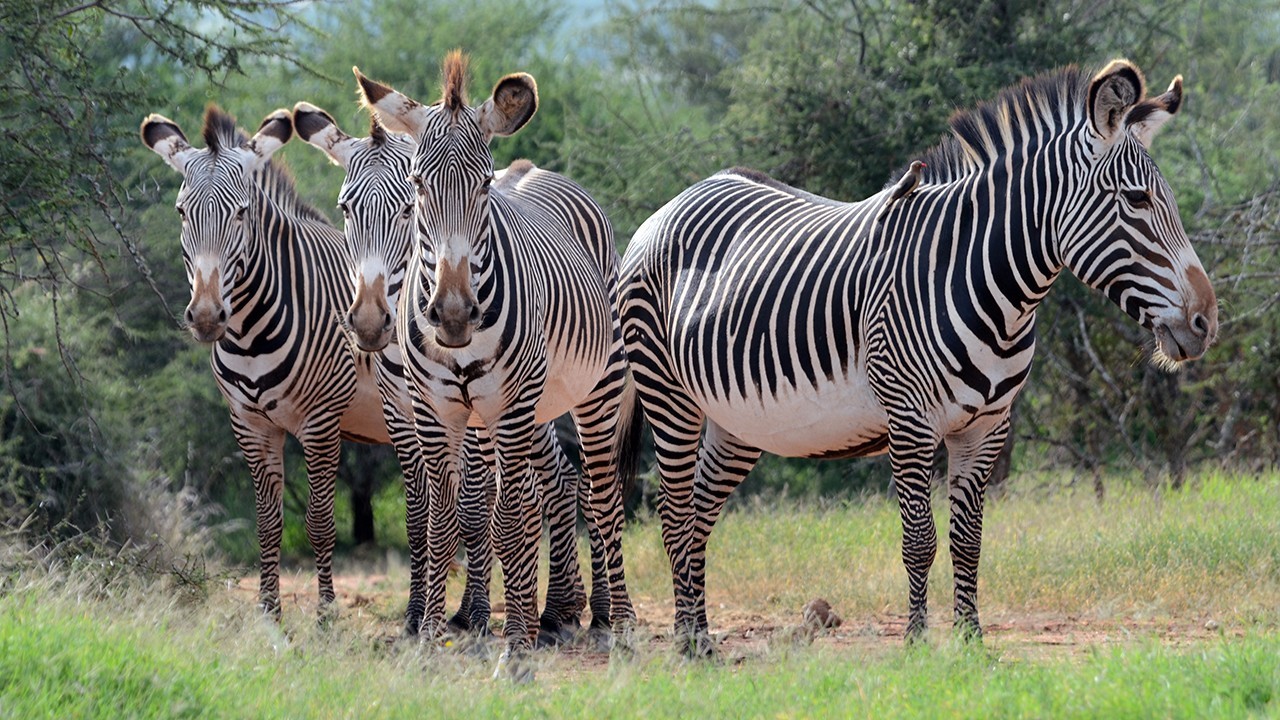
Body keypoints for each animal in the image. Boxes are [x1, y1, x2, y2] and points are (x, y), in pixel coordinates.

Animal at [290, 99, 614, 638]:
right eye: (345, 209)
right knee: (559, 480)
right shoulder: (403, 412)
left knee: (584, 483)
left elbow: (474, 505)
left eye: (407, 207)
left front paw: (475, 613)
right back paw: (558, 608)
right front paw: (420, 613)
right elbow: (421, 512)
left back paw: (597, 611)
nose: (370, 322)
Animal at [619, 58, 1218, 650]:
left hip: (736, 422)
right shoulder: (909, 420)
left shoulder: (987, 426)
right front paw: (915, 643)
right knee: (674, 512)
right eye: (1137, 200)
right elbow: (920, 539)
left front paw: (971, 641)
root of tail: (677, 199)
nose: (1206, 323)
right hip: (669, 396)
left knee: (699, 512)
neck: (985, 287)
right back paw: (688, 645)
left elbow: (969, 539)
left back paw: (699, 636)